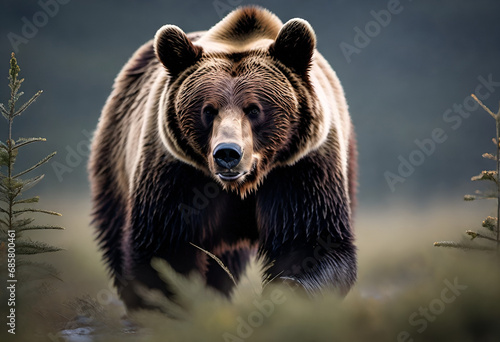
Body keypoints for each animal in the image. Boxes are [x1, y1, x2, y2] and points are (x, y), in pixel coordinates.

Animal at [88, 5, 358, 310]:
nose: (227, 153)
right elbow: (165, 249)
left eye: (254, 109)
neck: (241, 187)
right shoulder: (176, 174)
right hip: (115, 161)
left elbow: (311, 242)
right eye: (208, 110)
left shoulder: (300, 169)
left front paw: (285, 294)